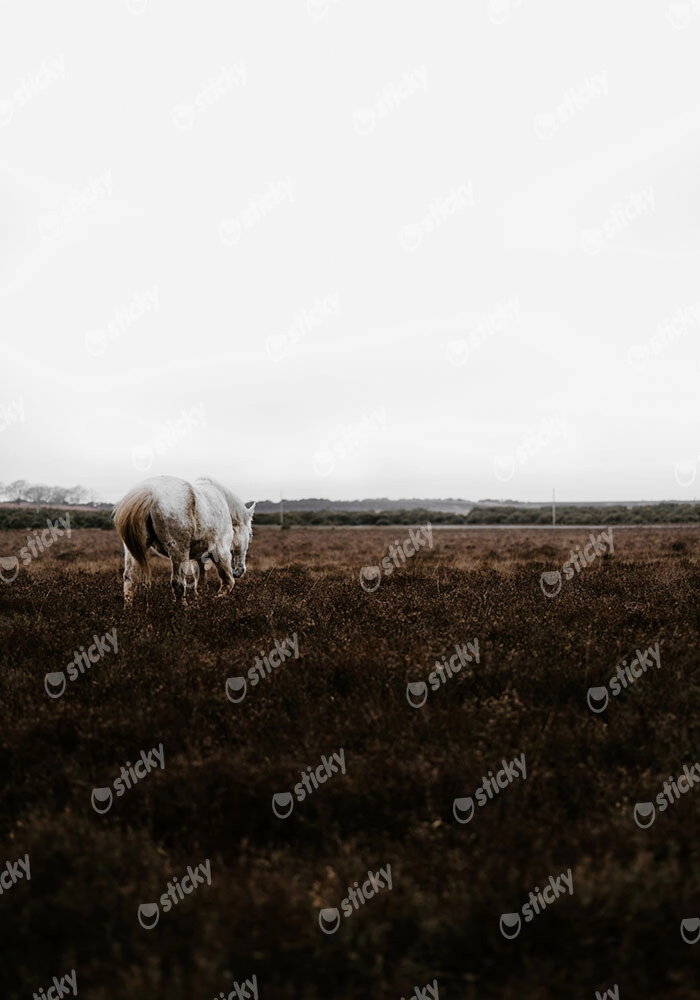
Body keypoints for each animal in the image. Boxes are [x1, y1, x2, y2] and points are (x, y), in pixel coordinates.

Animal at [113, 475, 255, 604]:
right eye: (250, 533)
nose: (240, 570)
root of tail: (149, 492)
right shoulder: (221, 552)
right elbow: (228, 582)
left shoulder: (198, 557)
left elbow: (200, 585)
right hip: (178, 551)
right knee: (178, 583)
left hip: (133, 550)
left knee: (129, 578)